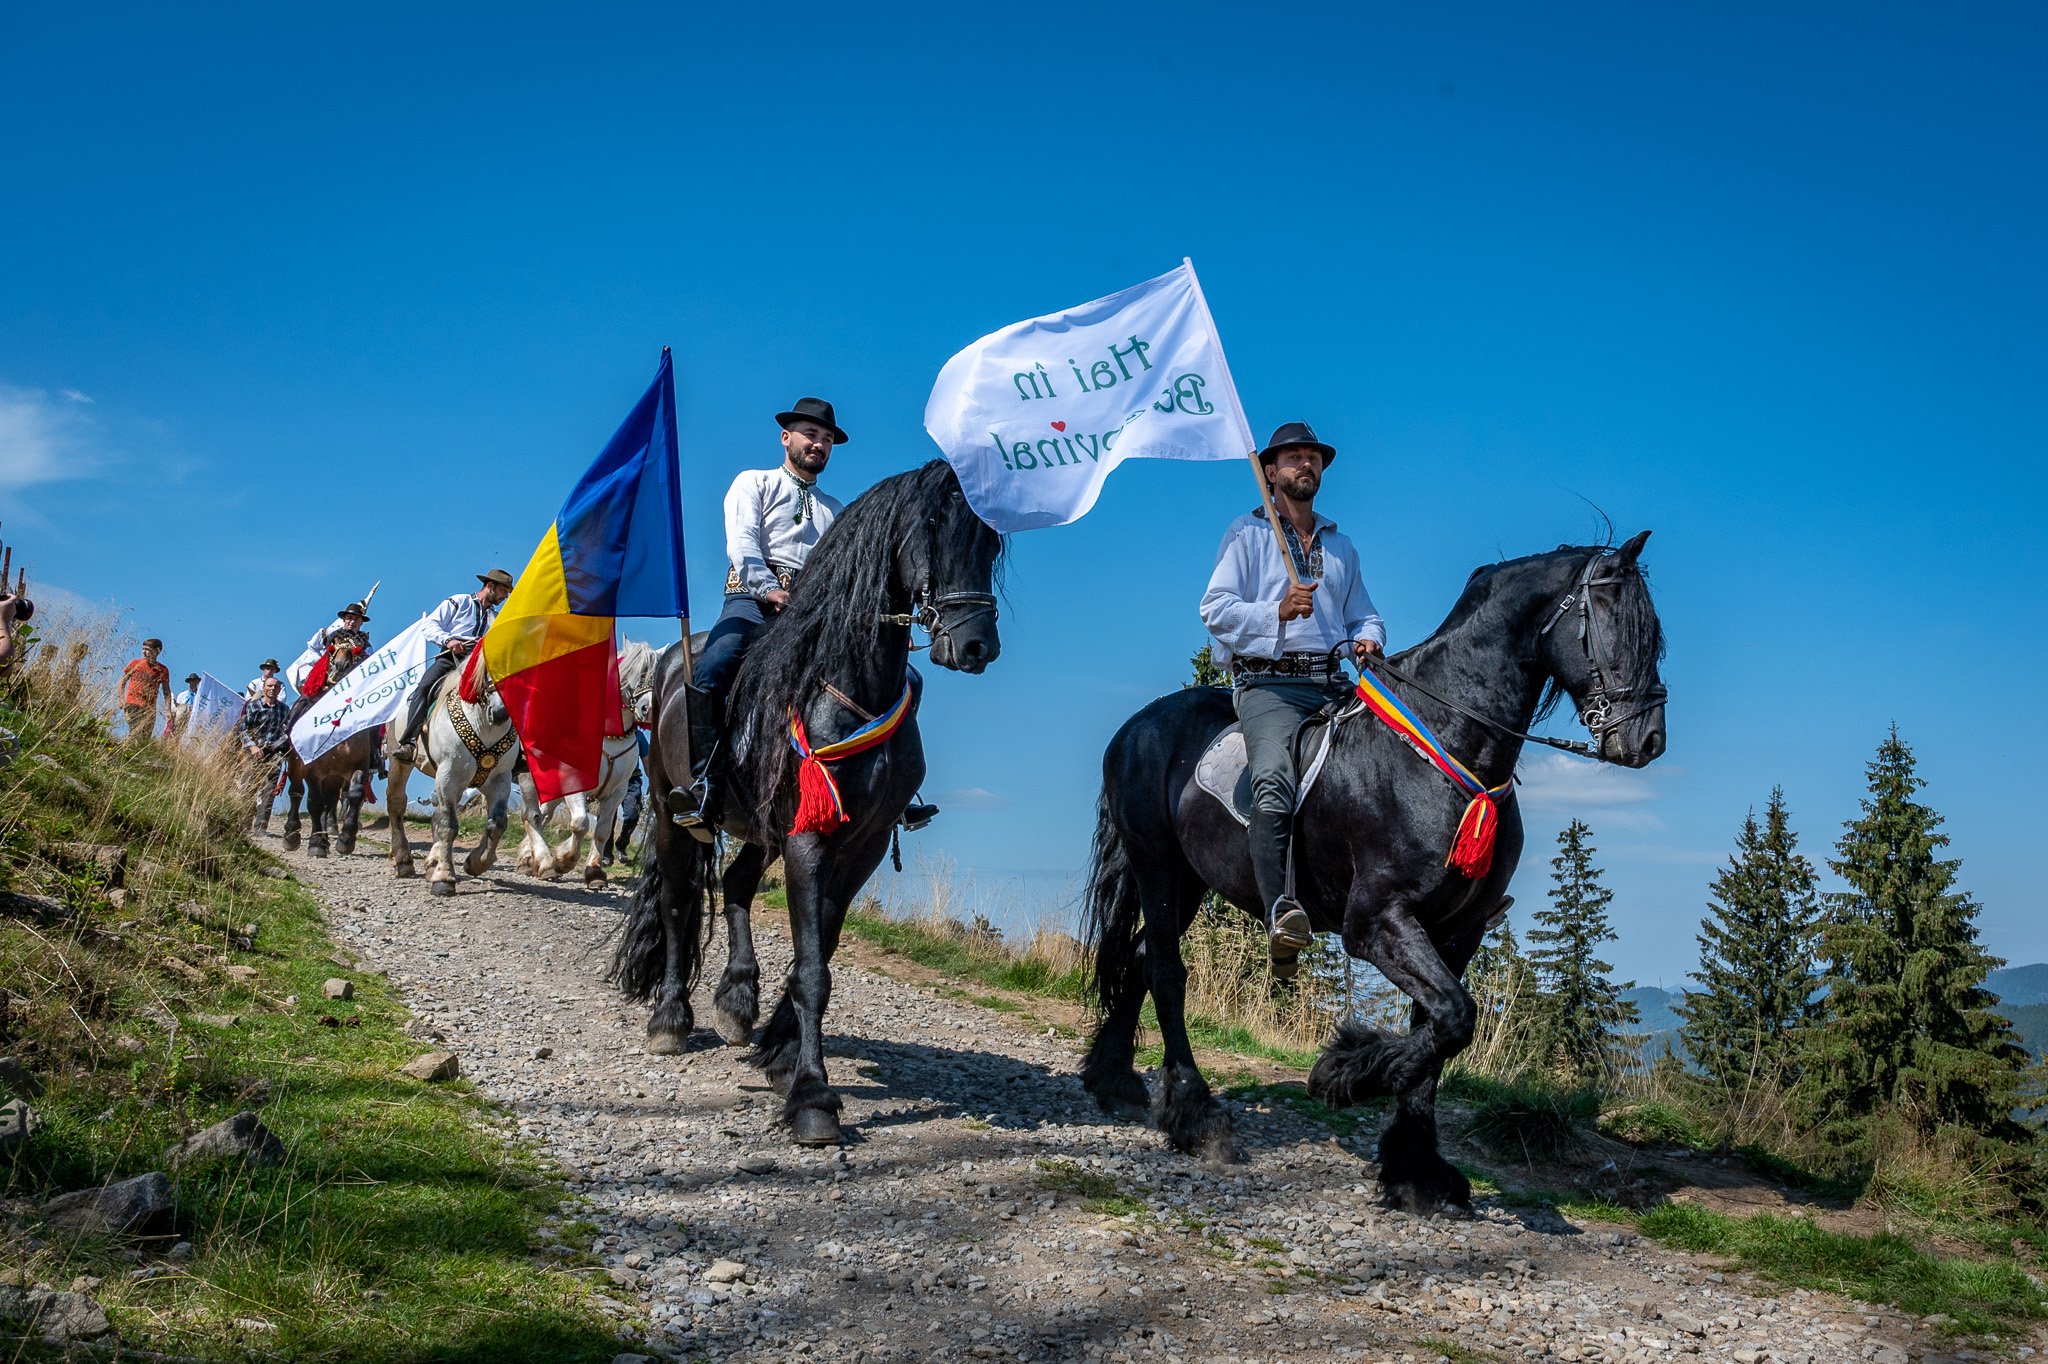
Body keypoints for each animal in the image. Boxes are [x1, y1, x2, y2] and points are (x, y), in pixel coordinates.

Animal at [281, 628, 377, 858]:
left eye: (358, 648)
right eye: (332, 646)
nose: (341, 666)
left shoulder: (359, 766)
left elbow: (355, 795)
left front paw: (346, 840)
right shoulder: (312, 770)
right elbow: (314, 802)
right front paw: (316, 843)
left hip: (334, 776)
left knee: (329, 800)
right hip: (298, 767)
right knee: (297, 792)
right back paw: (292, 834)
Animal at [383, 651, 521, 897]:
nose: (500, 713)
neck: (483, 724)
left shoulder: (500, 779)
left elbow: (497, 823)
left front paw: (475, 863)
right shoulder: (450, 774)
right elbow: (448, 824)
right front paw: (444, 878)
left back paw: (431, 863)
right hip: (399, 761)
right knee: (397, 803)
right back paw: (403, 860)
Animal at [515, 638, 658, 884]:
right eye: (632, 671)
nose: (647, 710)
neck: (608, 737)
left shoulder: (617, 792)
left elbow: (602, 831)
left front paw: (594, 872)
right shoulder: (575, 782)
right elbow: (580, 824)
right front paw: (563, 861)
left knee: (544, 815)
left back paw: (529, 859)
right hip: (529, 779)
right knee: (532, 815)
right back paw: (543, 862)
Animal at [610, 460, 1004, 1147]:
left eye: (992, 543)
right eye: (934, 527)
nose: (978, 646)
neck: (848, 687)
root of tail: (667, 666)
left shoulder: (859, 844)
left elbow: (817, 950)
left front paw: (780, 1053)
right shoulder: (808, 839)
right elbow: (814, 968)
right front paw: (813, 1098)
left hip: (759, 831)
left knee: (737, 884)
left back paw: (737, 1001)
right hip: (670, 813)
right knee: (679, 901)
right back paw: (671, 1019)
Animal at [1081, 533, 1668, 1213]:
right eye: (1612, 621)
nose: (1647, 740)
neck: (1445, 747)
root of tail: (1136, 727)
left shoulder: (1455, 931)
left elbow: (1438, 1028)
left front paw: (1415, 1168)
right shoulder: (1377, 922)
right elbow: (1453, 1018)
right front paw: (1342, 1074)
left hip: (1188, 880)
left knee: (1143, 954)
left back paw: (1114, 1080)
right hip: (1155, 862)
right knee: (1166, 971)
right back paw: (1196, 1117)